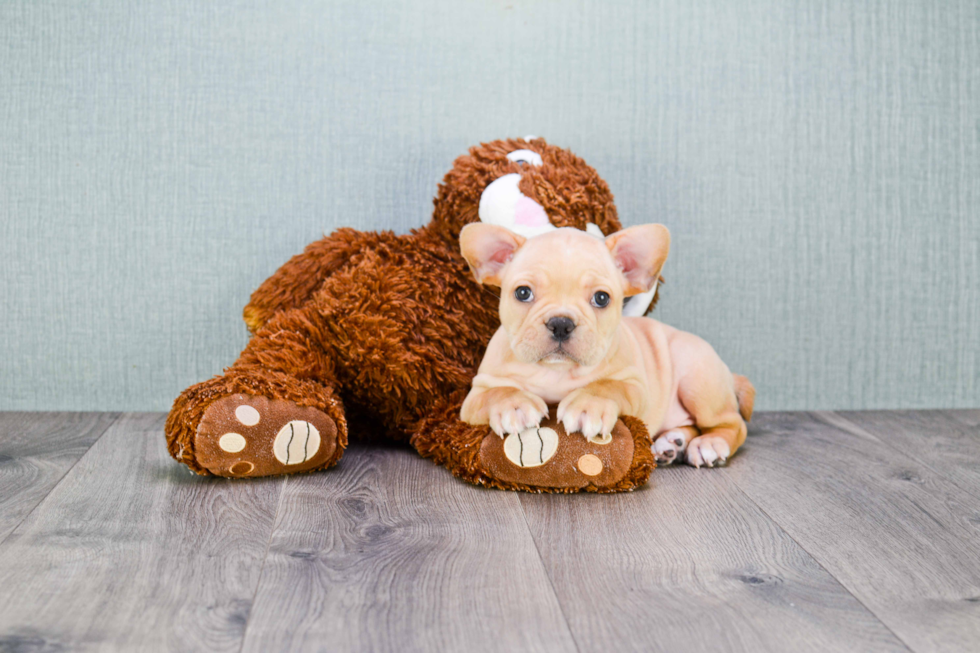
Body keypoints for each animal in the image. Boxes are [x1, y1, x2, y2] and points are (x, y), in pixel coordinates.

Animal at [456, 223, 756, 464]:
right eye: (522, 293)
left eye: (601, 298)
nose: (561, 323)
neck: (556, 371)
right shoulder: (475, 395)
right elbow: (498, 392)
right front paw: (514, 405)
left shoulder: (635, 386)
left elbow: (608, 386)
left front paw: (588, 405)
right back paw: (671, 443)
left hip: (697, 380)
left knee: (732, 423)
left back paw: (709, 444)